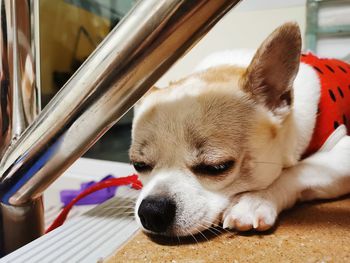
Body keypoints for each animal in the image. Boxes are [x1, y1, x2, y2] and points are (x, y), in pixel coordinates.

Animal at [129, 22, 350, 237]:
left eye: (216, 167)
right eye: (139, 165)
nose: (152, 210)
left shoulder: (342, 151)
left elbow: (300, 170)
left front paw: (253, 201)